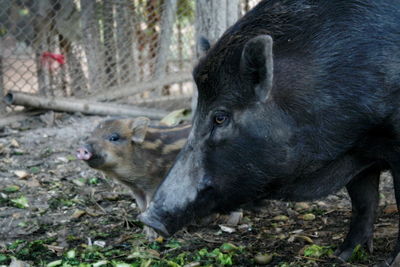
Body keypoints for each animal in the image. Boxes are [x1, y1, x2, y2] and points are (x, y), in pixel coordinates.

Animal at [141, 0, 400, 264]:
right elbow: (363, 202)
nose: (149, 219)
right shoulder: (358, 152)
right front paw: (341, 257)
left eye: (220, 117)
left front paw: (389, 263)